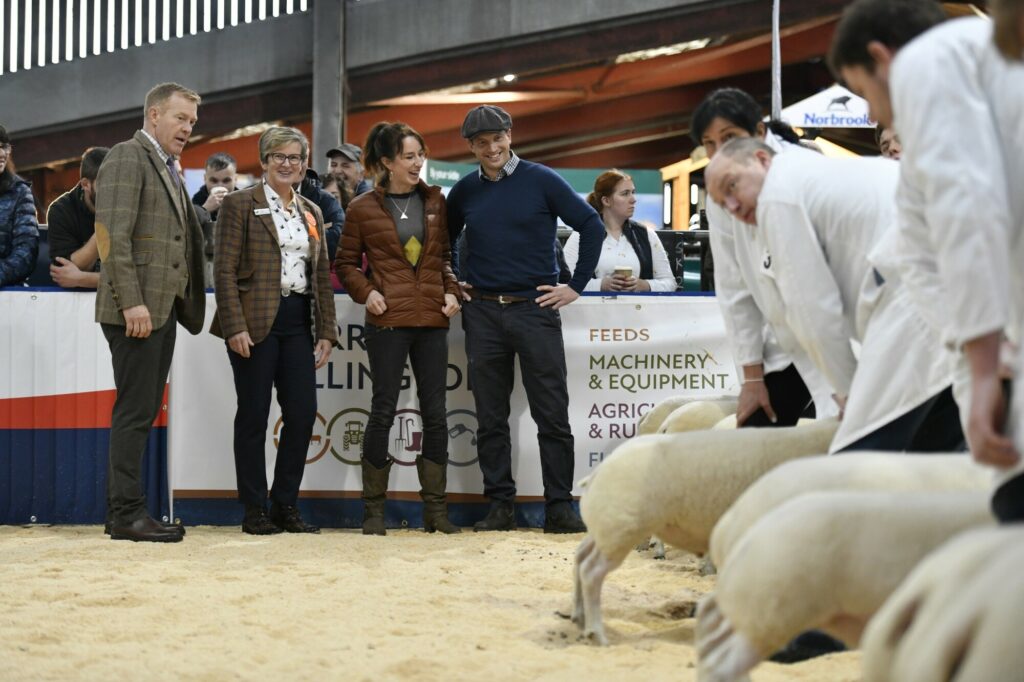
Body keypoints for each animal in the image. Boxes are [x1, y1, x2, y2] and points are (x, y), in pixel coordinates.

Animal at [573, 413, 835, 643]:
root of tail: (597, 471)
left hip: (608, 526)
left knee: (581, 556)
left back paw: (578, 616)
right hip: (619, 528)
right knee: (591, 571)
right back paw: (596, 632)